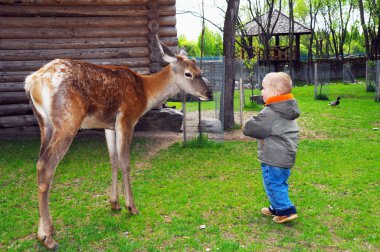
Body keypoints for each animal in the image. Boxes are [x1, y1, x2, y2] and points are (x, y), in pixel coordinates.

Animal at [24, 36, 212, 250]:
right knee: (46, 165)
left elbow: (113, 160)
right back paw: (47, 237)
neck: (145, 94)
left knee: (40, 162)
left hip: (43, 123)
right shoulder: (126, 118)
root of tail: (32, 81)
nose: (209, 93)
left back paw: (45, 230)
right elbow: (125, 161)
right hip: (67, 120)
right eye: (189, 73)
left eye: (200, 71)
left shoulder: (109, 125)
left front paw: (114, 203)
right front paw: (132, 206)